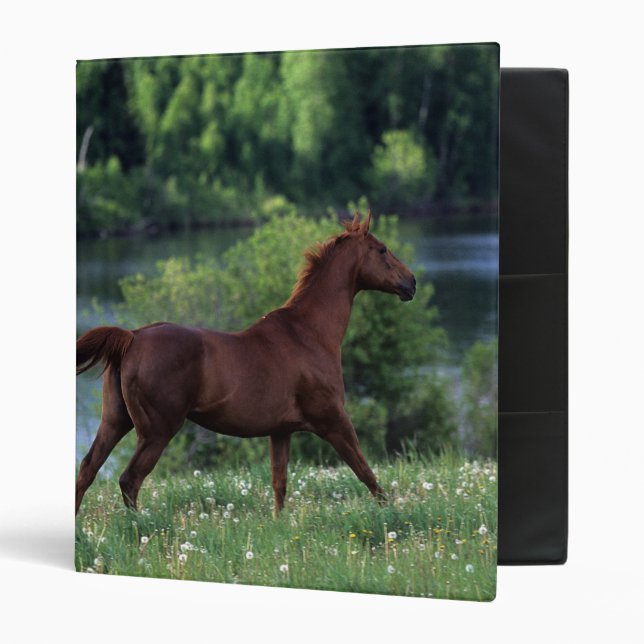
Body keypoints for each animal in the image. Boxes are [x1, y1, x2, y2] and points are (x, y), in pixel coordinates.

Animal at [75, 211, 416, 515]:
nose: (411, 283)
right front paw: (391, 516)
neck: (308, 333)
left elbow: (279, 485)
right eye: (382, 249)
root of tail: (132, 337)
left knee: (88, 469)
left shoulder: (281, 432)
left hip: (115, 421)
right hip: (157, 431)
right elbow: (366, 473)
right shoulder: (333, 420)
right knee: (129, 480)